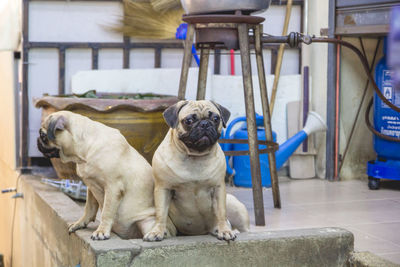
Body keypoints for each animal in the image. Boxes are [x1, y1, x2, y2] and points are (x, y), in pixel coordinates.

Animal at [37, 111, 175, 241]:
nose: (37, 141)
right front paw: (80, 223)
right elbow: (89, 208)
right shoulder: (91, 187)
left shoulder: (113, 188)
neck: (84, 152)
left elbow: (106, 213)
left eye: (43, 135)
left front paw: (101, 231)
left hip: (147, 223)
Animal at [144, 100, 250, 243]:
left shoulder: (218, 189)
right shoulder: (163, 189)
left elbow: (221, 212)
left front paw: (224, 231)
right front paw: (156, 232)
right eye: (189, 121)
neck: (195, 155)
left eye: (215, 119)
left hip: (236, 209)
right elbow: (161, 214)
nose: (205, 124)